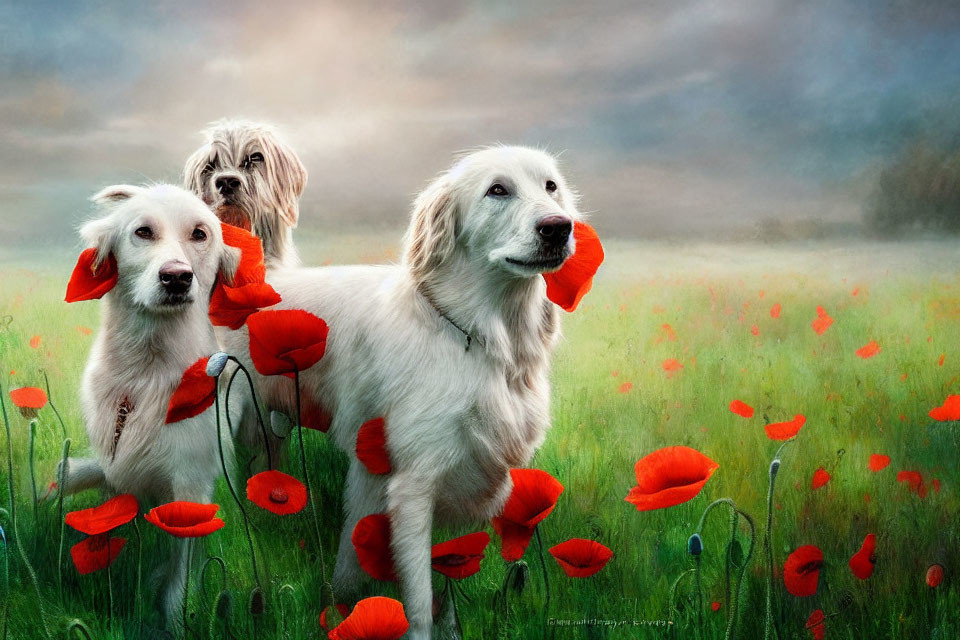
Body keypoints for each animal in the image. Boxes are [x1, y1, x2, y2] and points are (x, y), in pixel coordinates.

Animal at [62, 182, 240, 632]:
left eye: (200, 234)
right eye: (143, 232)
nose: (176, 277)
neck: (147, 372)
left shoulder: (190, 487)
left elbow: (179, 570)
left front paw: (176, 618)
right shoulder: (116, 474)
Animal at [214, 146, 580, 640]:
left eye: (551, 186)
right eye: (497, 190)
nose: (558, 227)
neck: (481, 338)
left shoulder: (468, 476)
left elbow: (448, 583)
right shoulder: (414, 485)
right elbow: (421, 600)